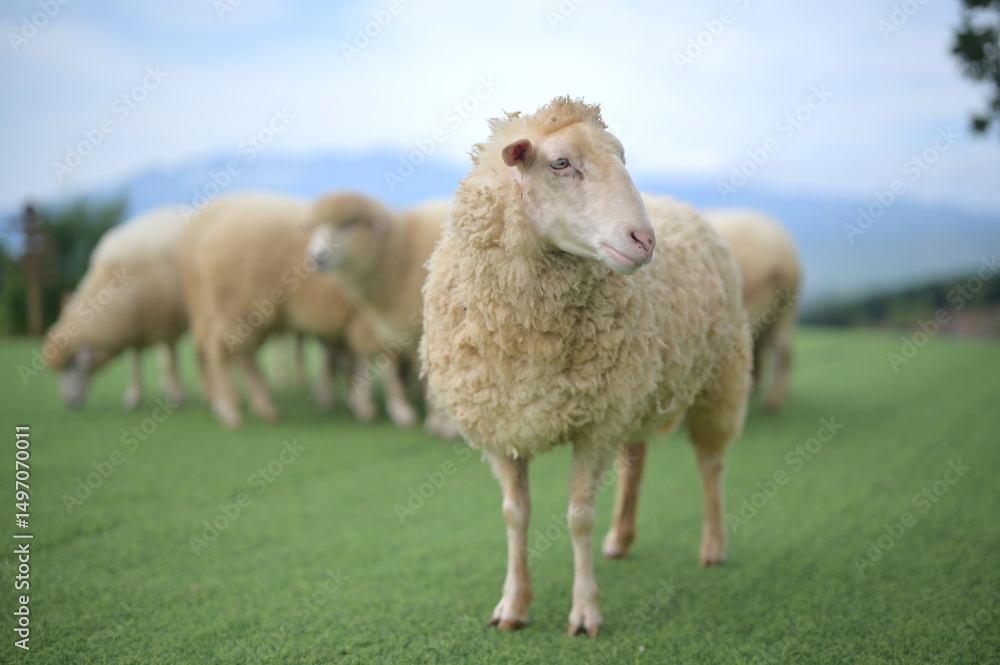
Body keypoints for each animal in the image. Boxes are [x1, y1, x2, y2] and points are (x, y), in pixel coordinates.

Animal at [44, 206, 188, 409]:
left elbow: (171, 360)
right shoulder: (134, 325)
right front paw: (135, 397)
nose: (70, 402)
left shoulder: (166, 321)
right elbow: (135, 361)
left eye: (73, 366)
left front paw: (177, 396)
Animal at [179, 192, 415, 429]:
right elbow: (384, 363)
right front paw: (397, 409)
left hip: (247, 316)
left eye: (351, 223)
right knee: (216, 350)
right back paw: (228, 409)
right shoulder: (370, 321)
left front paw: (356, 400)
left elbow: (357, 360)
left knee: (243, 355)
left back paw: (263, 405)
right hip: (237, 310)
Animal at [419, 97, 752, 637]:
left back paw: (714, 547)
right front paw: (513, 605)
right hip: (636, 392)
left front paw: (585, 612)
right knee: (637, 460)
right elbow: (515, 514)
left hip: (718, 379)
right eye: (560, 163)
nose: (644, 240)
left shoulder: (595, 425)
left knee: (711, 464)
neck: (529, 333)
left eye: (621, 156)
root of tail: (682, 205)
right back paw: (620, 540)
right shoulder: (503, 426)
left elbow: (578, 517)